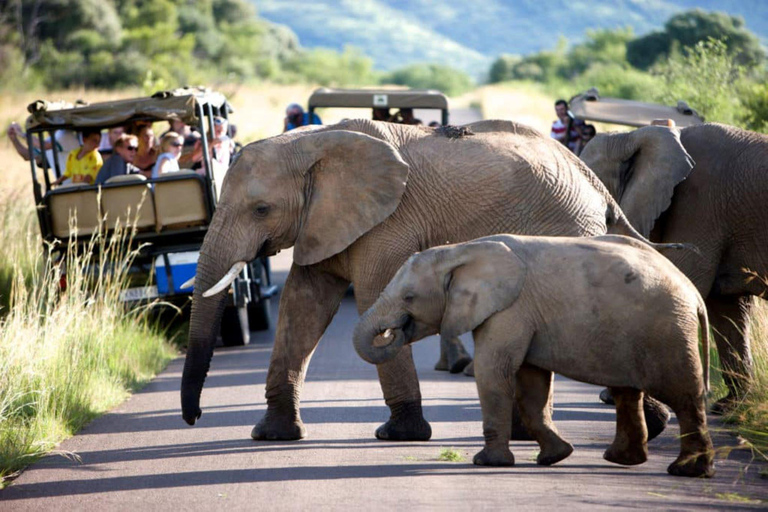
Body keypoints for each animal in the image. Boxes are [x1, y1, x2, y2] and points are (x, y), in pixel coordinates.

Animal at [180, 119, 664, 440]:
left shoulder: (388, 222)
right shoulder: (320, 222)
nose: (194, 418)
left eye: (261, 209)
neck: (314, 142)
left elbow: (371, 297)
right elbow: (303, 306)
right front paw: (272, 435)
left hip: (566, 228)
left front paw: (400, 435)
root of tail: (595, 183)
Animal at [354, 234, 712, 478]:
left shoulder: (509, 309)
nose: (393, 330)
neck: (460, 250)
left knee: (683, 395)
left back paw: (687, 470)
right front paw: (554, 457)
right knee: (628, 393)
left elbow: (493, 372)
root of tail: (693, 292)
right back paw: (623, 460)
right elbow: (531, 383)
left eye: (409, 297)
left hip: (667, 331)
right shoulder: (523, 315)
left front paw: (488, 463)